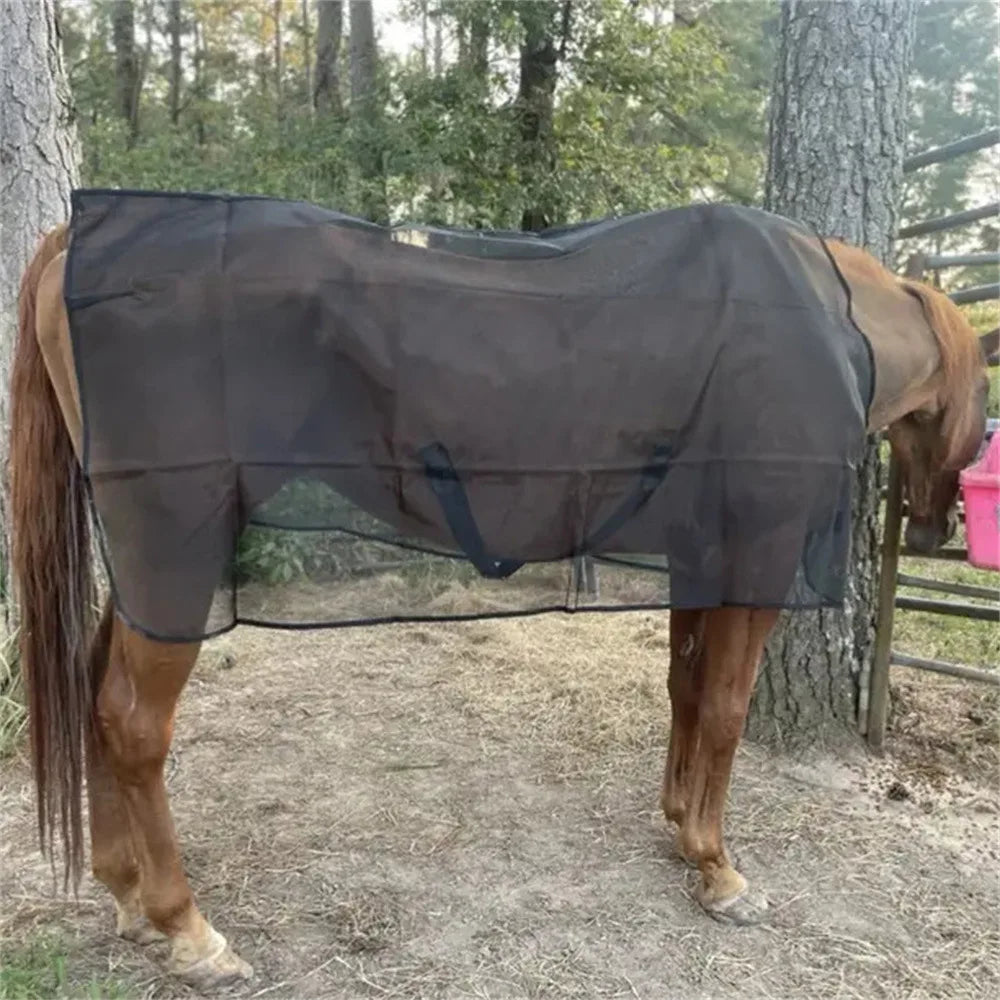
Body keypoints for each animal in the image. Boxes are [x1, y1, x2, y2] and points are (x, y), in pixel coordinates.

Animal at [9, 216, 990, 989]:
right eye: (981, 408)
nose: (936, 529)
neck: (821, 323)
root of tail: (83, 237)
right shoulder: (753, 551)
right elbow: (723, 708)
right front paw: (718, 872)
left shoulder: (696, 551)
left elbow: (684, 693)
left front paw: (680, 827)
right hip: (175, 542)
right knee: (133, 720)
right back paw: (189, 930)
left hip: (147, 563)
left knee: (94, 690)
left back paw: (126, 894)